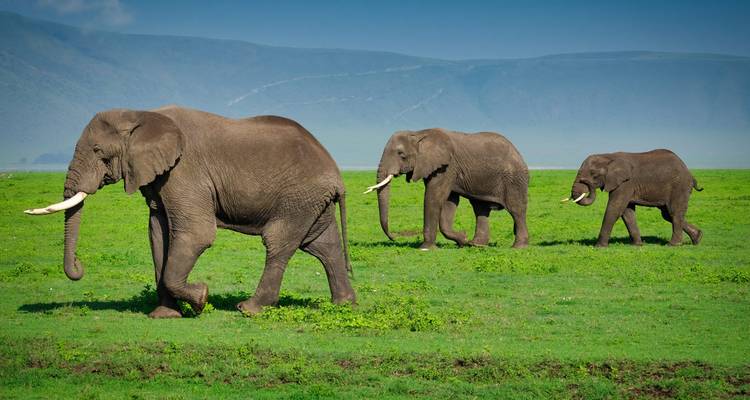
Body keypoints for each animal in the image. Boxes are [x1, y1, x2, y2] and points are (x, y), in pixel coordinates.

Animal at [25, 106, 356, 318]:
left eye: (97, 151)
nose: (79, 267)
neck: (142, 114)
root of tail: (337, 175)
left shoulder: (185, 171)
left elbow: (197, 234)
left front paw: (201, 299)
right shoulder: (159, 177)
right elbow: (158, 234)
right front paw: (164, 315)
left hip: (297, 198)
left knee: (280, 243)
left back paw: (248, 310)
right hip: (310, 201)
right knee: (323, 245)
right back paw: (344, 305)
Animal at [366, 128, 529, 250]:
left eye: (401, 155)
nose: (394, 238)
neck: (419, 133)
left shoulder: (447, 166)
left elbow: (435, 196)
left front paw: (425, 248)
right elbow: (449, 201)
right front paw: (462, 239)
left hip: (514, 179)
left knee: (516, 209)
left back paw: (518, 247)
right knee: (480, 208)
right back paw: (476, 245)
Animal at [563, 149, 703, 247]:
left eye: (593, 174)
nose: (584, 181)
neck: (609, 156)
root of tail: (690, 173)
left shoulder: (626, 183)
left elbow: (615, 209)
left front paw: (599, 246)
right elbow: (627, 212)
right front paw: (637, 245)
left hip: (679, 187)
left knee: (674, 213)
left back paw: (673, 245)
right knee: (667, 214)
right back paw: (698, 238)